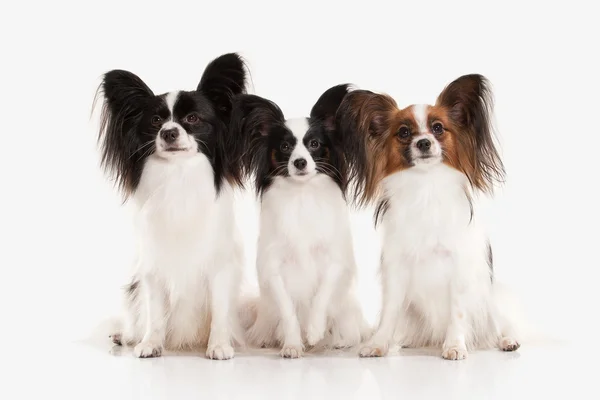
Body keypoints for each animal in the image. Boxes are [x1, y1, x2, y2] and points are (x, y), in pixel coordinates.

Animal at [95, 52, 248, 360]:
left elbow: (219, 310)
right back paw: (125, 335)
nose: (168, 132)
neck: (179, 175)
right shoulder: (153, 267)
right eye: (155, 121)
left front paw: (219, 345)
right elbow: (154, 311)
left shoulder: (220, 266)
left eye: (192, 118)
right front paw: (150, 344)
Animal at [231, 85, 368, 360]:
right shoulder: (274, 267)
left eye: (314, 144)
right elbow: (287, 310)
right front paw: (293, 344)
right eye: (285, 146)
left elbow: (322, 294)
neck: (302, 195)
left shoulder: (335, 261)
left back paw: (338, 341)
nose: (300, 162)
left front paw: (314, 331)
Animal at [338, 74, 520, 360]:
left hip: (488, 299)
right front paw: (379, 344)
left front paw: (455, 346)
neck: (426, 186)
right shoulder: (397, 268)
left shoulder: (458, 268)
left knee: (497, 323)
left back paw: (507, 340)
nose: (423, 143)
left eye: (438, 128)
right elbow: (389, 312)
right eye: (404, 132)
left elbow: (458, 311)